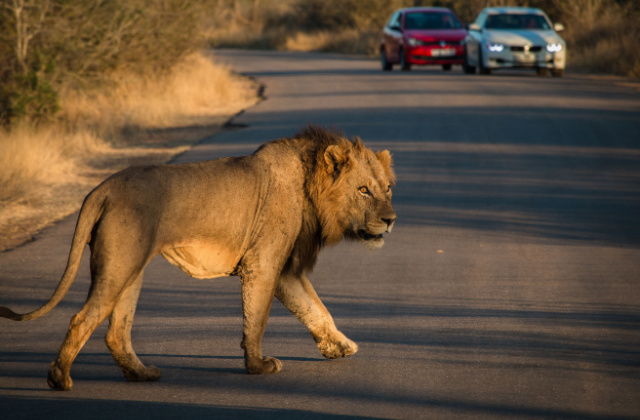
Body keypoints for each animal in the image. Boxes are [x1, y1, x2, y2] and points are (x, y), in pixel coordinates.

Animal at [1, 125, 396, 390]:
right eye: (363, 190)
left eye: (388, 188)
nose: (391, 220)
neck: (310, 184)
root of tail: (103, 188)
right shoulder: (264, 264)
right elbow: (258, 318)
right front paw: (257, 365)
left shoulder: (284, 269)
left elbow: (316, 308)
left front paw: (340, 346)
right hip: (119, 265)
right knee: (83, 318)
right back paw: (60, 378)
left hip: (130, 267)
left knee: (116, 330)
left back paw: (141, 374)